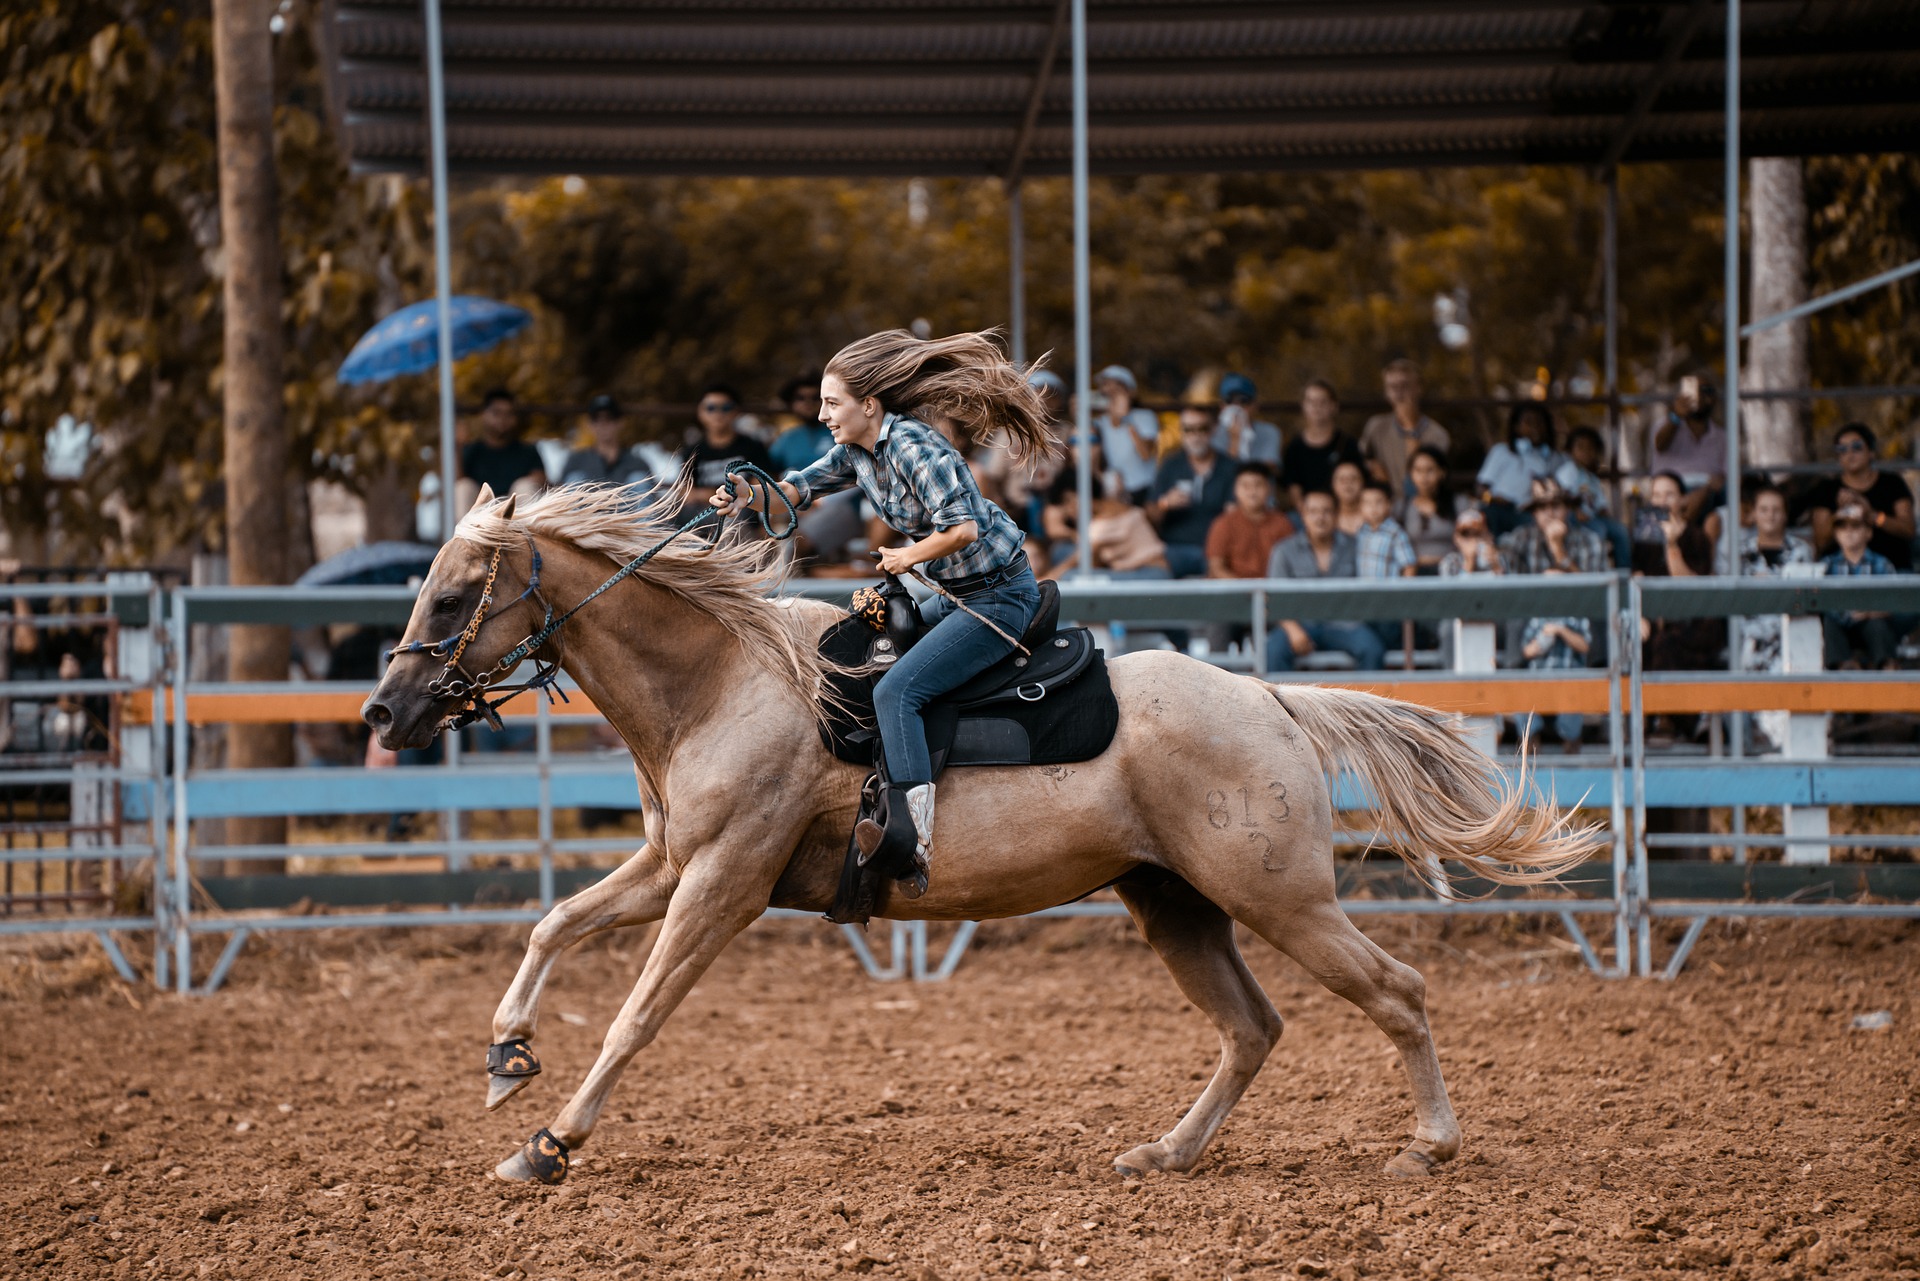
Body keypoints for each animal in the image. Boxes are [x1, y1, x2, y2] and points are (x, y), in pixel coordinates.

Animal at [362, 483, 1600, 1186]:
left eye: (453, 594)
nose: (383, 712)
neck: (724, 680)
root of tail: (1269, 698)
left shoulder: (722, 882)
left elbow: (633, 1016)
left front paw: (547, 1146)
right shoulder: (672, 862)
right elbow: (552, 926)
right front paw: (506, 1058)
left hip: (1278, 898)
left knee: (1396, 991)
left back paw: (1429, 1148)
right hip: (1175, 903)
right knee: (1252, 1029)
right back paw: (1166, 1153)